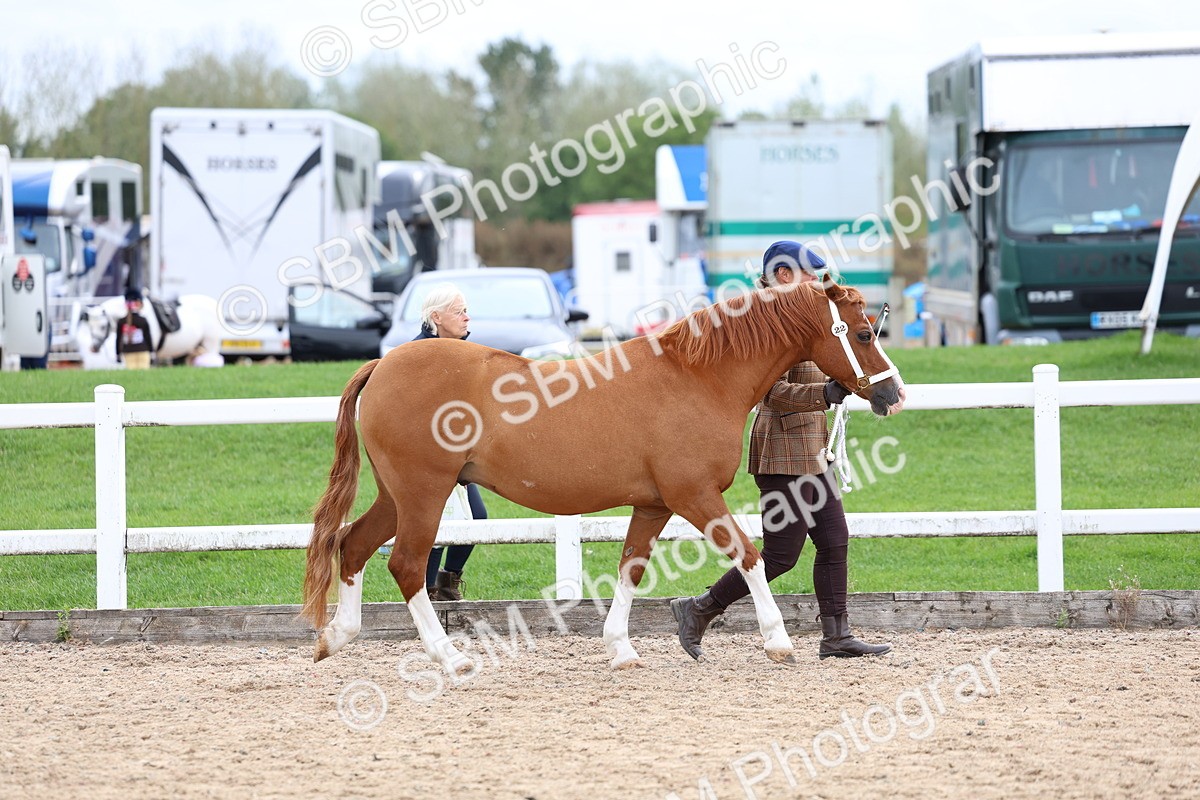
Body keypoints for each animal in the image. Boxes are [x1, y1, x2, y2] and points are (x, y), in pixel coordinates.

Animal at [300, 279, 906, 674]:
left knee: (351, 545)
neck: (698, 377)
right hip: (424, 493)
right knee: (404, 565)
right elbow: (750, 555)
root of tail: (385, 363)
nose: (893, 394)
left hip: (398, 495)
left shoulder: (655, 504)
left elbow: (630, 569)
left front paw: (621, 648)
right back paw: (449, 657)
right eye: (862, 333)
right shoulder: (694, 495)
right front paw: (778, 641)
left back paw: (336, 638)